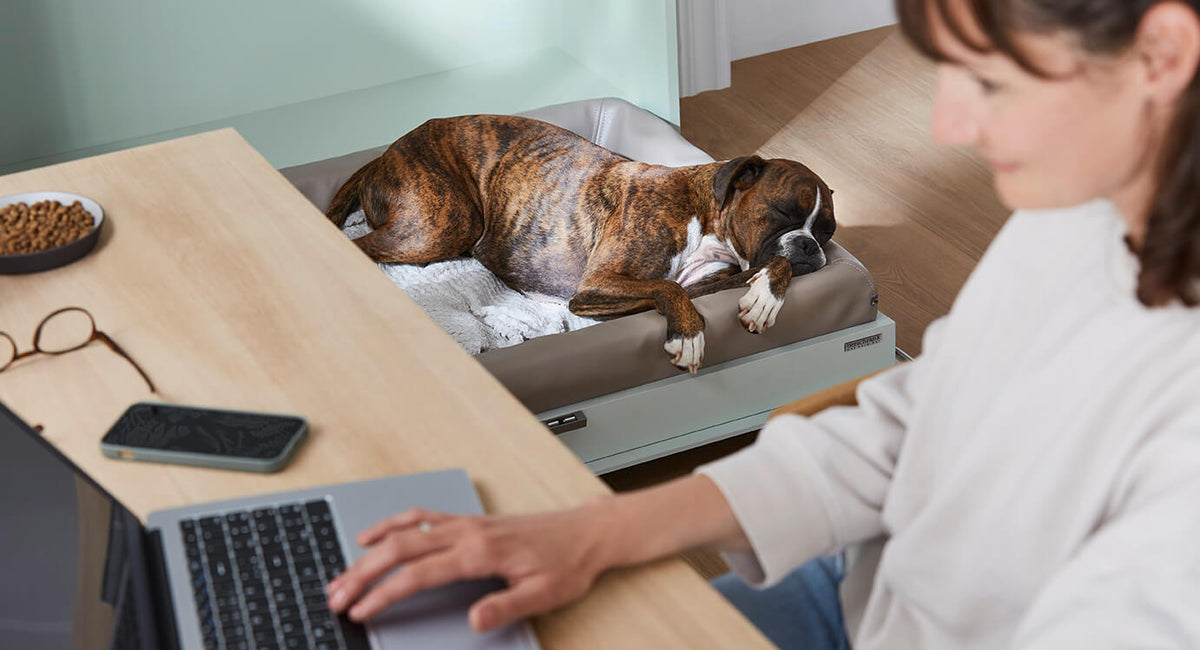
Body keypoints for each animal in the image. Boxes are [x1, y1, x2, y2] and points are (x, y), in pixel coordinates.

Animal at [326, 115, 835, 374]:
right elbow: (668, 287)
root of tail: (384, 153)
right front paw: (688, 337)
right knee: (360, 245)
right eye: (784, 212)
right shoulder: (596, 286)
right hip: (442, 226)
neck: (706, 217)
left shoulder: (706, 281)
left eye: (827, 231)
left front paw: (765, 297)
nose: (811, 247)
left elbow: (721, 278)